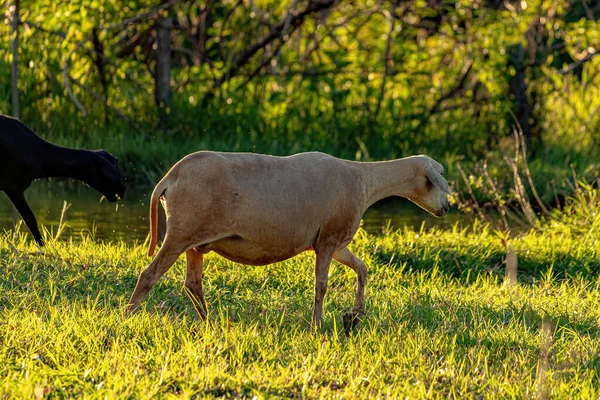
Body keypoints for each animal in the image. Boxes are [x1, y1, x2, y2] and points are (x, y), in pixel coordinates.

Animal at [0, 114, 124, 245]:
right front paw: (43, 246)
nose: (123, 188)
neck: (38, 154)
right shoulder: (14, 187)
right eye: (114, 167)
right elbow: (30, 218)